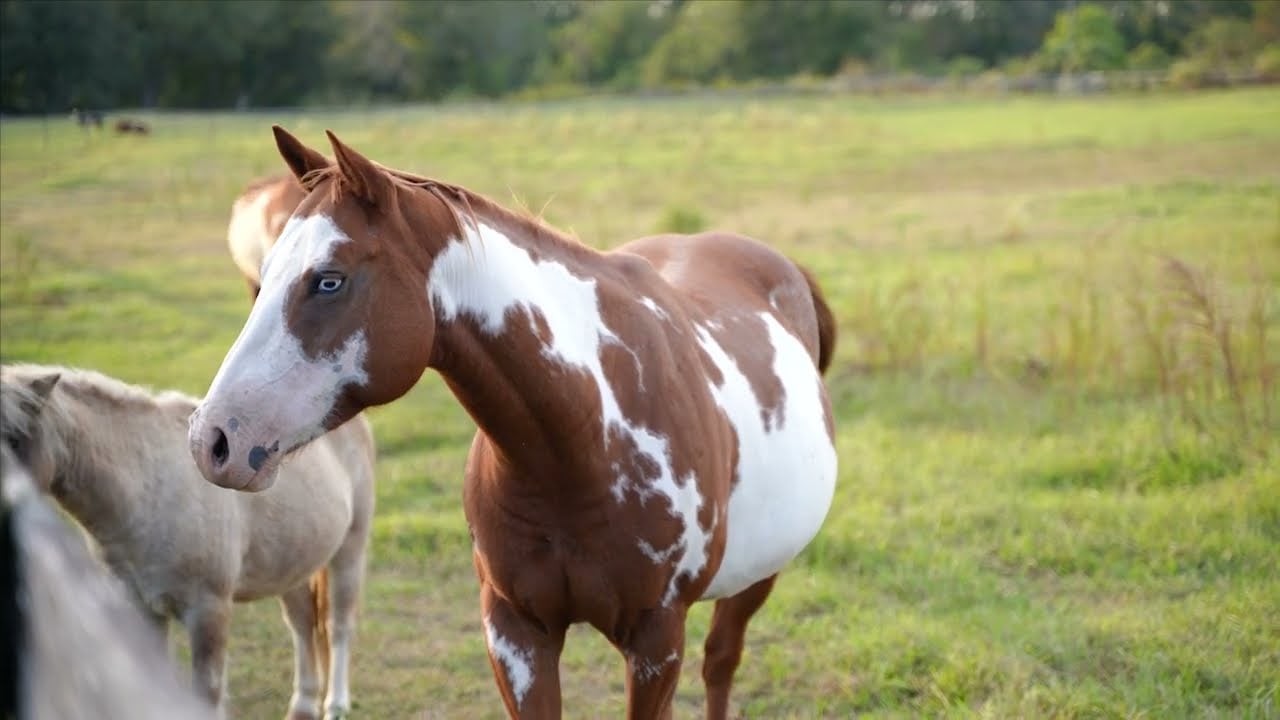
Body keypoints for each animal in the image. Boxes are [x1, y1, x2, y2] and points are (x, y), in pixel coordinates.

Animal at [188, 126, 839, 719]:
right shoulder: (515, 635)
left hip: (758, 578)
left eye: (329, 280)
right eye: (266, 274)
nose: (211, 439)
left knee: (721, 662)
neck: (582, 442)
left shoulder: (656, 642)